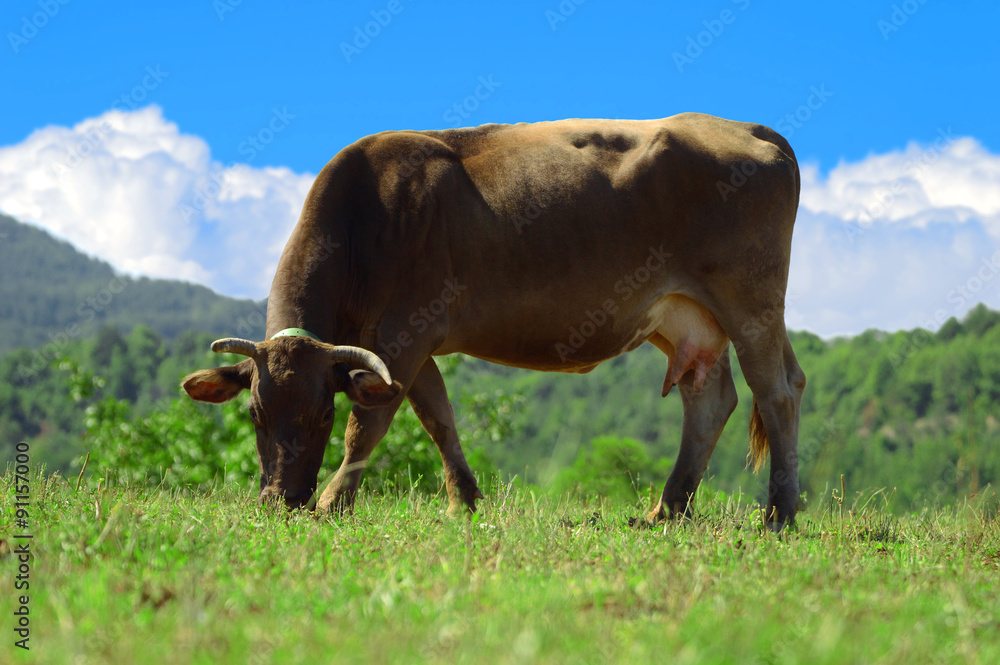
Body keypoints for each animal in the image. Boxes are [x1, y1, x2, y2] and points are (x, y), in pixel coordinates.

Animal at [182, 112, 806, 528]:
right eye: (256, 414)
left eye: (321, 415)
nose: (279, 501)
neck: (365, 221)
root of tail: (749, 128)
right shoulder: (404, 348)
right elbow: (437, 417)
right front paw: (464, 501)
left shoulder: (404, 335)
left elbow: (372, 422)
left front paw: (334, 503)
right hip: (685, 316)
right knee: (711, 397)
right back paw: (665, 511)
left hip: (750, 299)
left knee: (776, 390)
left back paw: (777, 516)